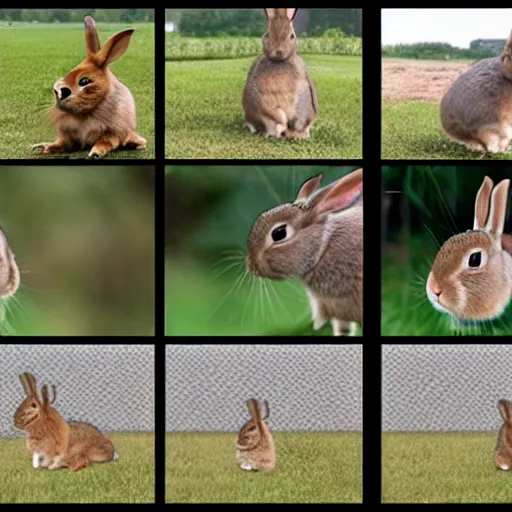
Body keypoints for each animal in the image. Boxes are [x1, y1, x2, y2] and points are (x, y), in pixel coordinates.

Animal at [31, 16, 147, 159]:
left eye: (85, 81)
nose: (57, 90)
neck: (85, 114)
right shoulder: (66, 134)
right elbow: (61, 143)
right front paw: (42, 147)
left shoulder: (113, 132)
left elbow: (105, 142)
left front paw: (95, 153)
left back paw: (135, 144)